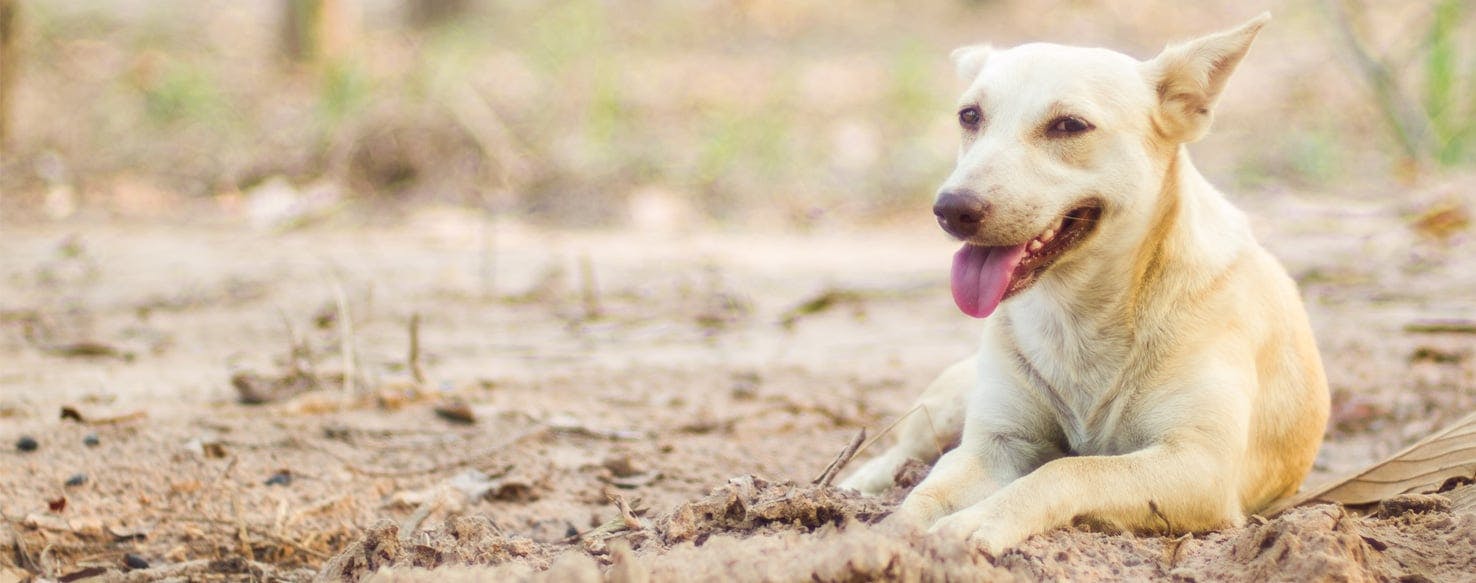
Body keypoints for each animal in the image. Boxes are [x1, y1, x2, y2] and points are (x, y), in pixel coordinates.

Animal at [844, 12, 1340, 552]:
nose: (951, 208)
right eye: (970, 116)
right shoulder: (995, 445)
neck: (1077, 313)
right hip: (953, 400)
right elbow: (928, 494)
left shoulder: (1199, 464)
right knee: (901, 451)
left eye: (1069, 125)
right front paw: (888, 536)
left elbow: (1068, 469)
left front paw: (979, 520)